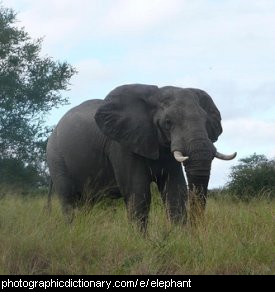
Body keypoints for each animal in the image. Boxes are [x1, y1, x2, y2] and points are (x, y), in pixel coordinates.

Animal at [46, 84, 236, 230]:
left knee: (86, 204)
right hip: (56, 158)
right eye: (168, 122)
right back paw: (72, 232)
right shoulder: (121, 144)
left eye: (206, 121)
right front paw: (141, 242)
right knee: (69, 200)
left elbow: (175, 190)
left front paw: (180, 239)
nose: (197, 231)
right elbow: (138, 192)